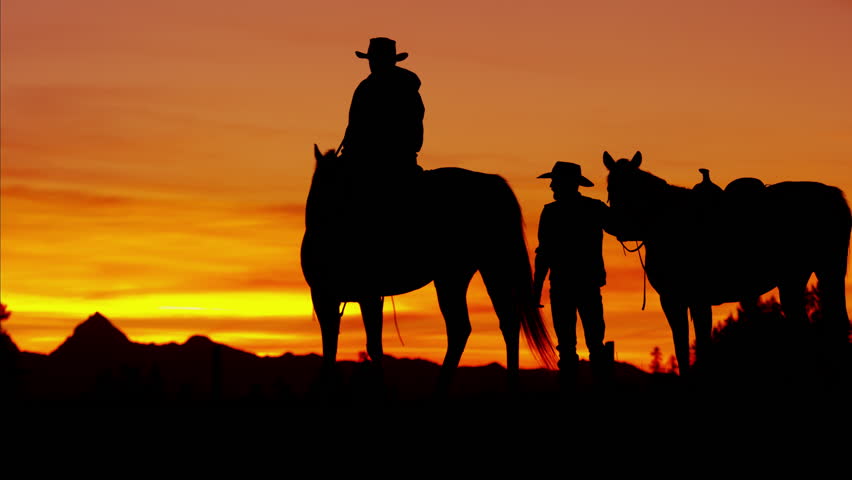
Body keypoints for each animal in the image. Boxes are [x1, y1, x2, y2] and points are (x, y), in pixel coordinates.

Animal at [302, 144, 560, 396]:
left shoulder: (366, 295)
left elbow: (371, 345)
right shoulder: (326, 297)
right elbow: (331, 344)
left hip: (462, 273)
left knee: (470, 326)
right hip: (477, 270)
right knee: (499, 322)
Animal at [604, 152, 848, 376]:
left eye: (633, 189)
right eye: (610, 188)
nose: (615, 225)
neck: (666, 222)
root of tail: (833, 194)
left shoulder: (695, 299)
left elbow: (701, 345)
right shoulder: (674, 300)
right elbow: (682, 348)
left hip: (829, 271)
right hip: (795, 279)